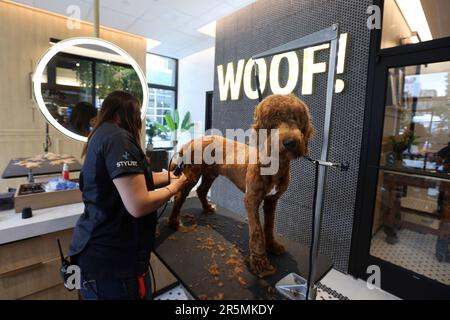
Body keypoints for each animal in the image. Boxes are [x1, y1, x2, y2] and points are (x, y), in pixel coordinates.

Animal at [168, 94, 312, 278]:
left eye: (296, 118)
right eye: (273, 122)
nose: (289, 142)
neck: (276, 164)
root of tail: (193, 141)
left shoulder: (272, 200)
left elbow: (270, 225)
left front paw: (272, 245)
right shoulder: (251, 199)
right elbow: (257, 231)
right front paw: (261, 264)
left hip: (210, 173)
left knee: (201, 190)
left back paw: (207, 208)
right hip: (192, 174)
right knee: (180, 195)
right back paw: (173, 222)